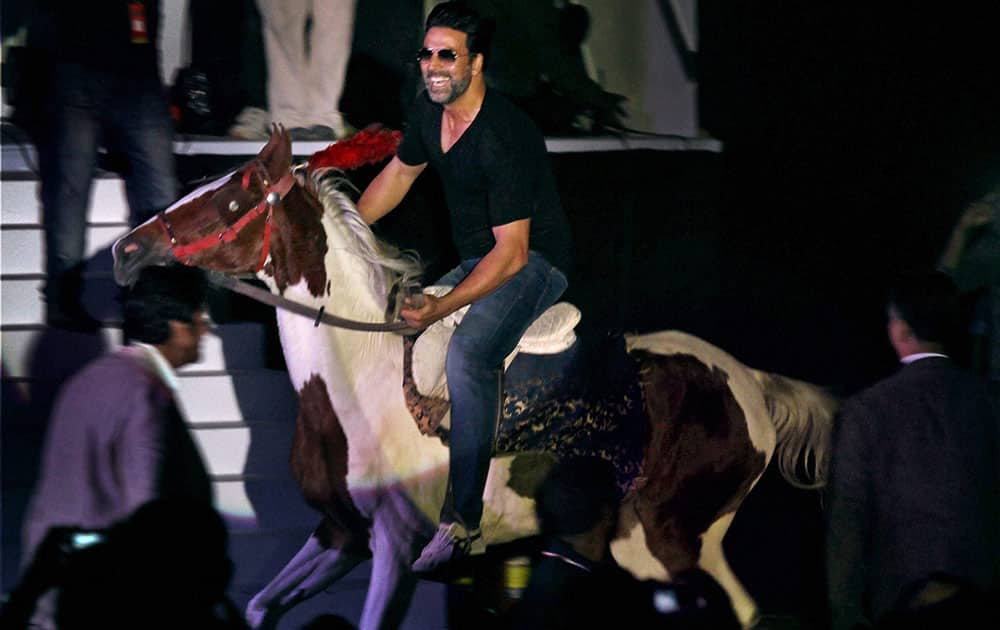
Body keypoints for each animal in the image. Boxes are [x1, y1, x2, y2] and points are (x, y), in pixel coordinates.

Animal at [113, 130, 840, 630]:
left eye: (234, 192)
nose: (126, 247)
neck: (357, 381)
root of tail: (753, 384)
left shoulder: (393, 549)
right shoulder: (340, 535)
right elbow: (262, 605)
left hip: (663, 542)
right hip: (667, 546)